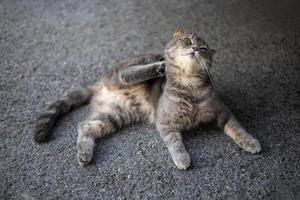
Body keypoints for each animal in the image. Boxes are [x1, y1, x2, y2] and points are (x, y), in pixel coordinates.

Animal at [34, 28, 260, 170]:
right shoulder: (166, 123)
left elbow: (238, 128)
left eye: (204, 49)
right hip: (135, 65)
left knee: (84, 126)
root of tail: (100, 83)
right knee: (127, 74)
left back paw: (84, 154)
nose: (195, 49)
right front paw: (182, 159)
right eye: (187, 41)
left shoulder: (222, 112)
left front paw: (250, 142)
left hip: (115, 116)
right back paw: (159, 67)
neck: (189, 85)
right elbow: (175, 144)